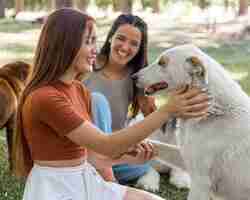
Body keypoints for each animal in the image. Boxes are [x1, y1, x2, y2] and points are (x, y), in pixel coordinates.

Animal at [134, 44, 250, 200]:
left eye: (162, 63)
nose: (133, 77)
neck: (212, 111)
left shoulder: (200, 181)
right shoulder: (186, 158)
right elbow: (156, 145)